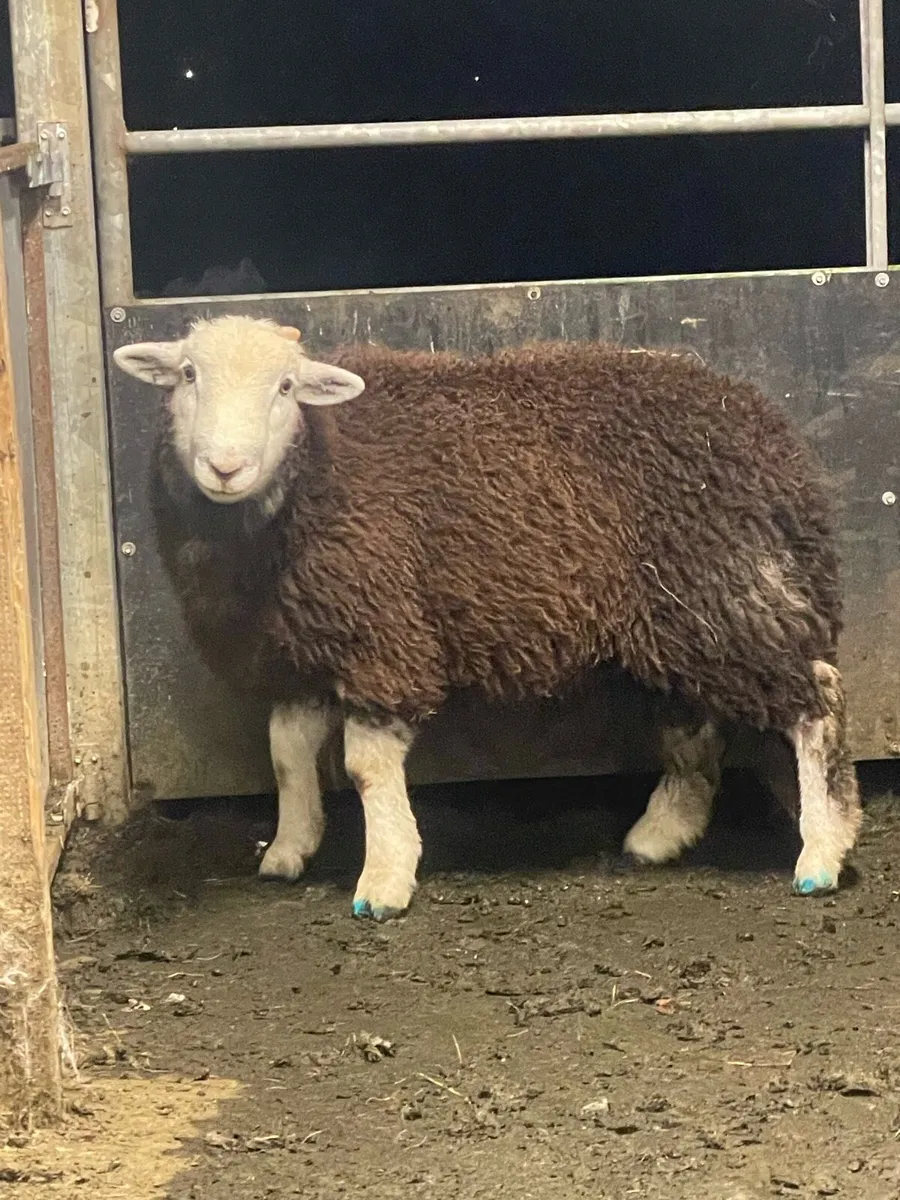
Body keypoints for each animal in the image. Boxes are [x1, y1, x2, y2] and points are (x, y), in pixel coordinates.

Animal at [114, 315, 862, 920]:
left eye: (287, 388)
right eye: (188, 375)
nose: (225, 466)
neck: (316, 469)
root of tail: (771, 437)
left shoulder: (382, 632)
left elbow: (364, 766)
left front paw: (385, 879)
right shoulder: (305, 641)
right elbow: (288, 753)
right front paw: (289, 849)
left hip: (727, 591)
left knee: (816, 699)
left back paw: (822, 852)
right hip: (679, 619)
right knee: (694, 719)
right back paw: (661, 833)